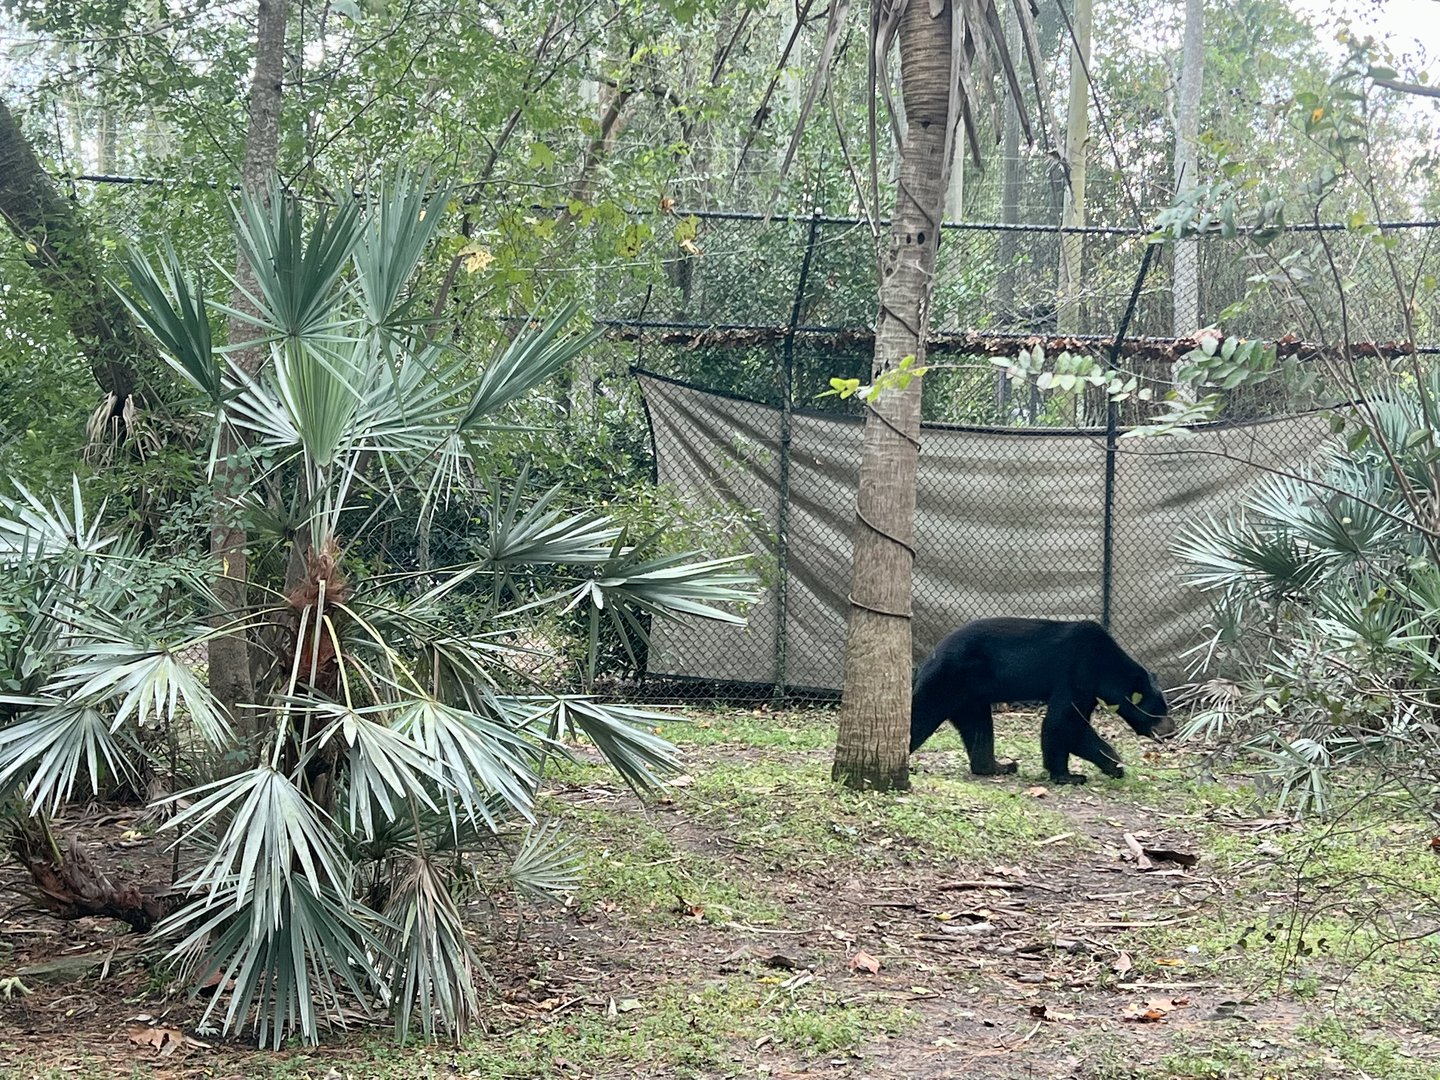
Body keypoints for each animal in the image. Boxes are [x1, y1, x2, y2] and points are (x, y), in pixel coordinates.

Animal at [909, 618, 1174, 784]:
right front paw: (1068, 776)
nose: (1171, 731)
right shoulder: (1077, 671)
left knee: (978, 727)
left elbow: (1077, 729)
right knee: (922, 713)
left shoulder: (1088, 689)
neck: (1106, 666)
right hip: (948, 679)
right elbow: (1062, 722)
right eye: (1158, 710)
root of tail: (928, 659)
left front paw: (1113, 765)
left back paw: (1000, 766)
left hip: (971, 697)